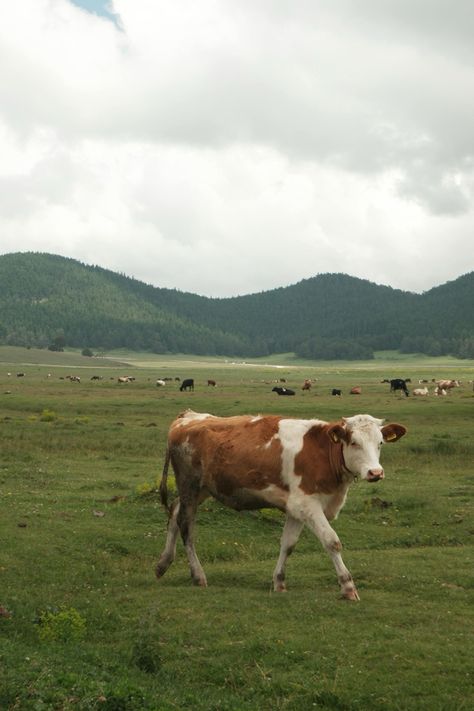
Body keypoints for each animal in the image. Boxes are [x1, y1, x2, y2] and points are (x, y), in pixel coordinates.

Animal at [156, 412, 408, 600]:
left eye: (380, 443)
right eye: (354, 442)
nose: (375, 472)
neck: (323, 452)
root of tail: (188, 417)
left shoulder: (296, 508)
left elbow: (288, 544)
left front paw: (279, 581)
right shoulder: (308, 504)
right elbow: (332, 542)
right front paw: (348, 587)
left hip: (201, 489)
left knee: (174, 512)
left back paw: (163, 563)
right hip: (190, 486)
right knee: (186, 528)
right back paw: (198, 575)